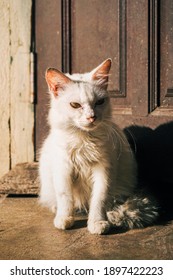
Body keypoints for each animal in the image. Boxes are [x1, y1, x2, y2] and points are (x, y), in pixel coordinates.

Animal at [39, 59, 158, 234]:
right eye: (75, 105)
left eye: (99, 102)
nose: (91, 117)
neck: (84, 140)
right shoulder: (63, 168)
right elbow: (65, 197)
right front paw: (64, 219)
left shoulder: (104, 170)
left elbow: (99, 200)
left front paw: (97, 223)